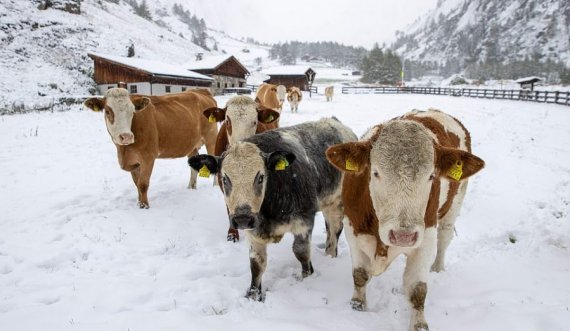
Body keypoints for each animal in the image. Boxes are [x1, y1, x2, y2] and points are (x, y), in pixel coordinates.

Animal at [84, 87, 217, 209]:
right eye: (107, 111)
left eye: (132, 111)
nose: (126, 136)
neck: (123, 151)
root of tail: (200, 91)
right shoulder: (133, 162)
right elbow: (137, 184)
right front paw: (139, 203)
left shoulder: (148, 157)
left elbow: (143, 184)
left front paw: (145, 206)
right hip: (191, 144)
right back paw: (191, 188)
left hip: (211, 138)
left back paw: (215, 186)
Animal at [190, 117, 356, 300]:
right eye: (224, 178)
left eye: (261, 177)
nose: (242, 218)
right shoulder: (253, 231)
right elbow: (257, 264)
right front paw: (253, 295)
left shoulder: (304, 220)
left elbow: (301, 252)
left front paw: (307, 277)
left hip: (337, 203)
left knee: (334, 231)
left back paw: (330, 255)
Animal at [324, 110, 484, 330]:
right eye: (375, 172)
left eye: (431, 176)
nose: (403, 236)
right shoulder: (353, 230)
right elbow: (360, 275)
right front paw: (357, 306)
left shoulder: (425, 238)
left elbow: (417, 290)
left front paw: (419, 324)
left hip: (453, 207)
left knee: (444, 240)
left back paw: (437, 268)